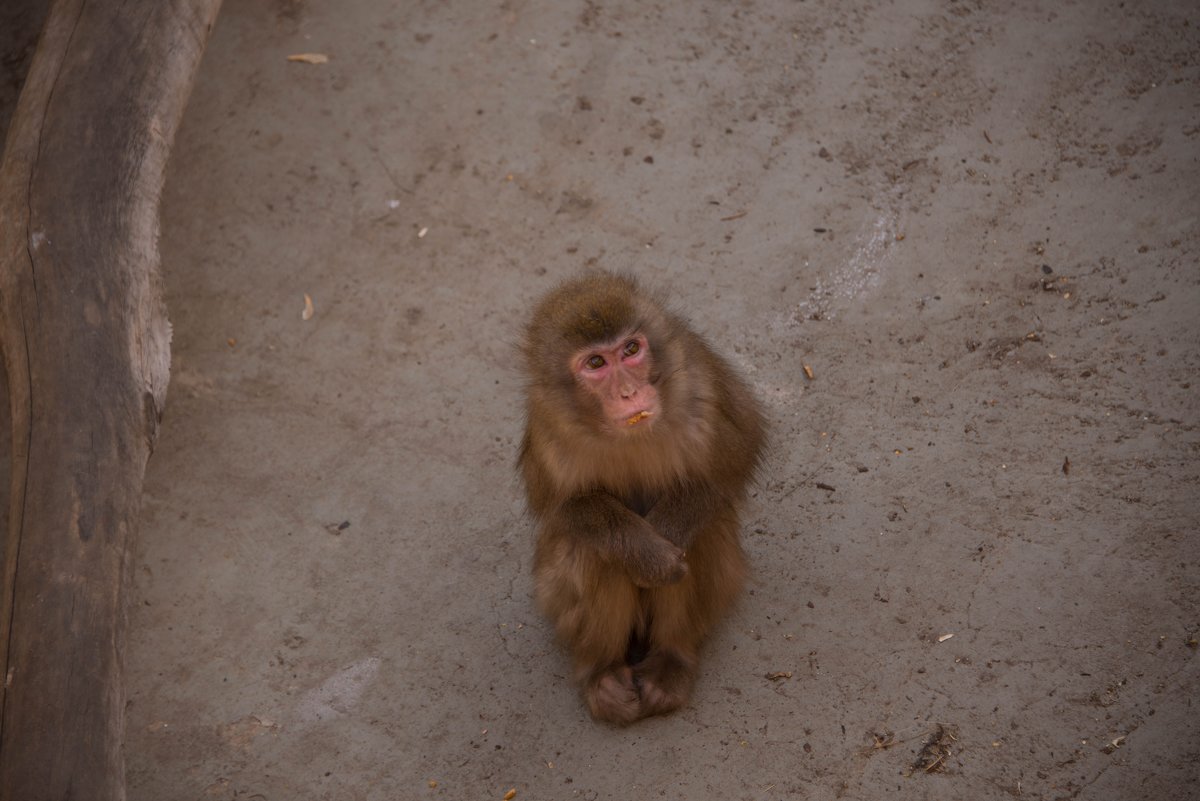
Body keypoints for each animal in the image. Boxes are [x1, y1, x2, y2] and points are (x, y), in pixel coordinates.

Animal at [518, 272, 763, 724]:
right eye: (596, 363)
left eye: (631, 350)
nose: (630, 393)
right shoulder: (547, 422)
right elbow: (566, 508)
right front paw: (650, 556)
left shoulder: (698, 375)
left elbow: (732, 461)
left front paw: (665, 541)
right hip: (554, 597)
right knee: (592, 551)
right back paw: (601, 672)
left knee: (702, 533)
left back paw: (670, 661)